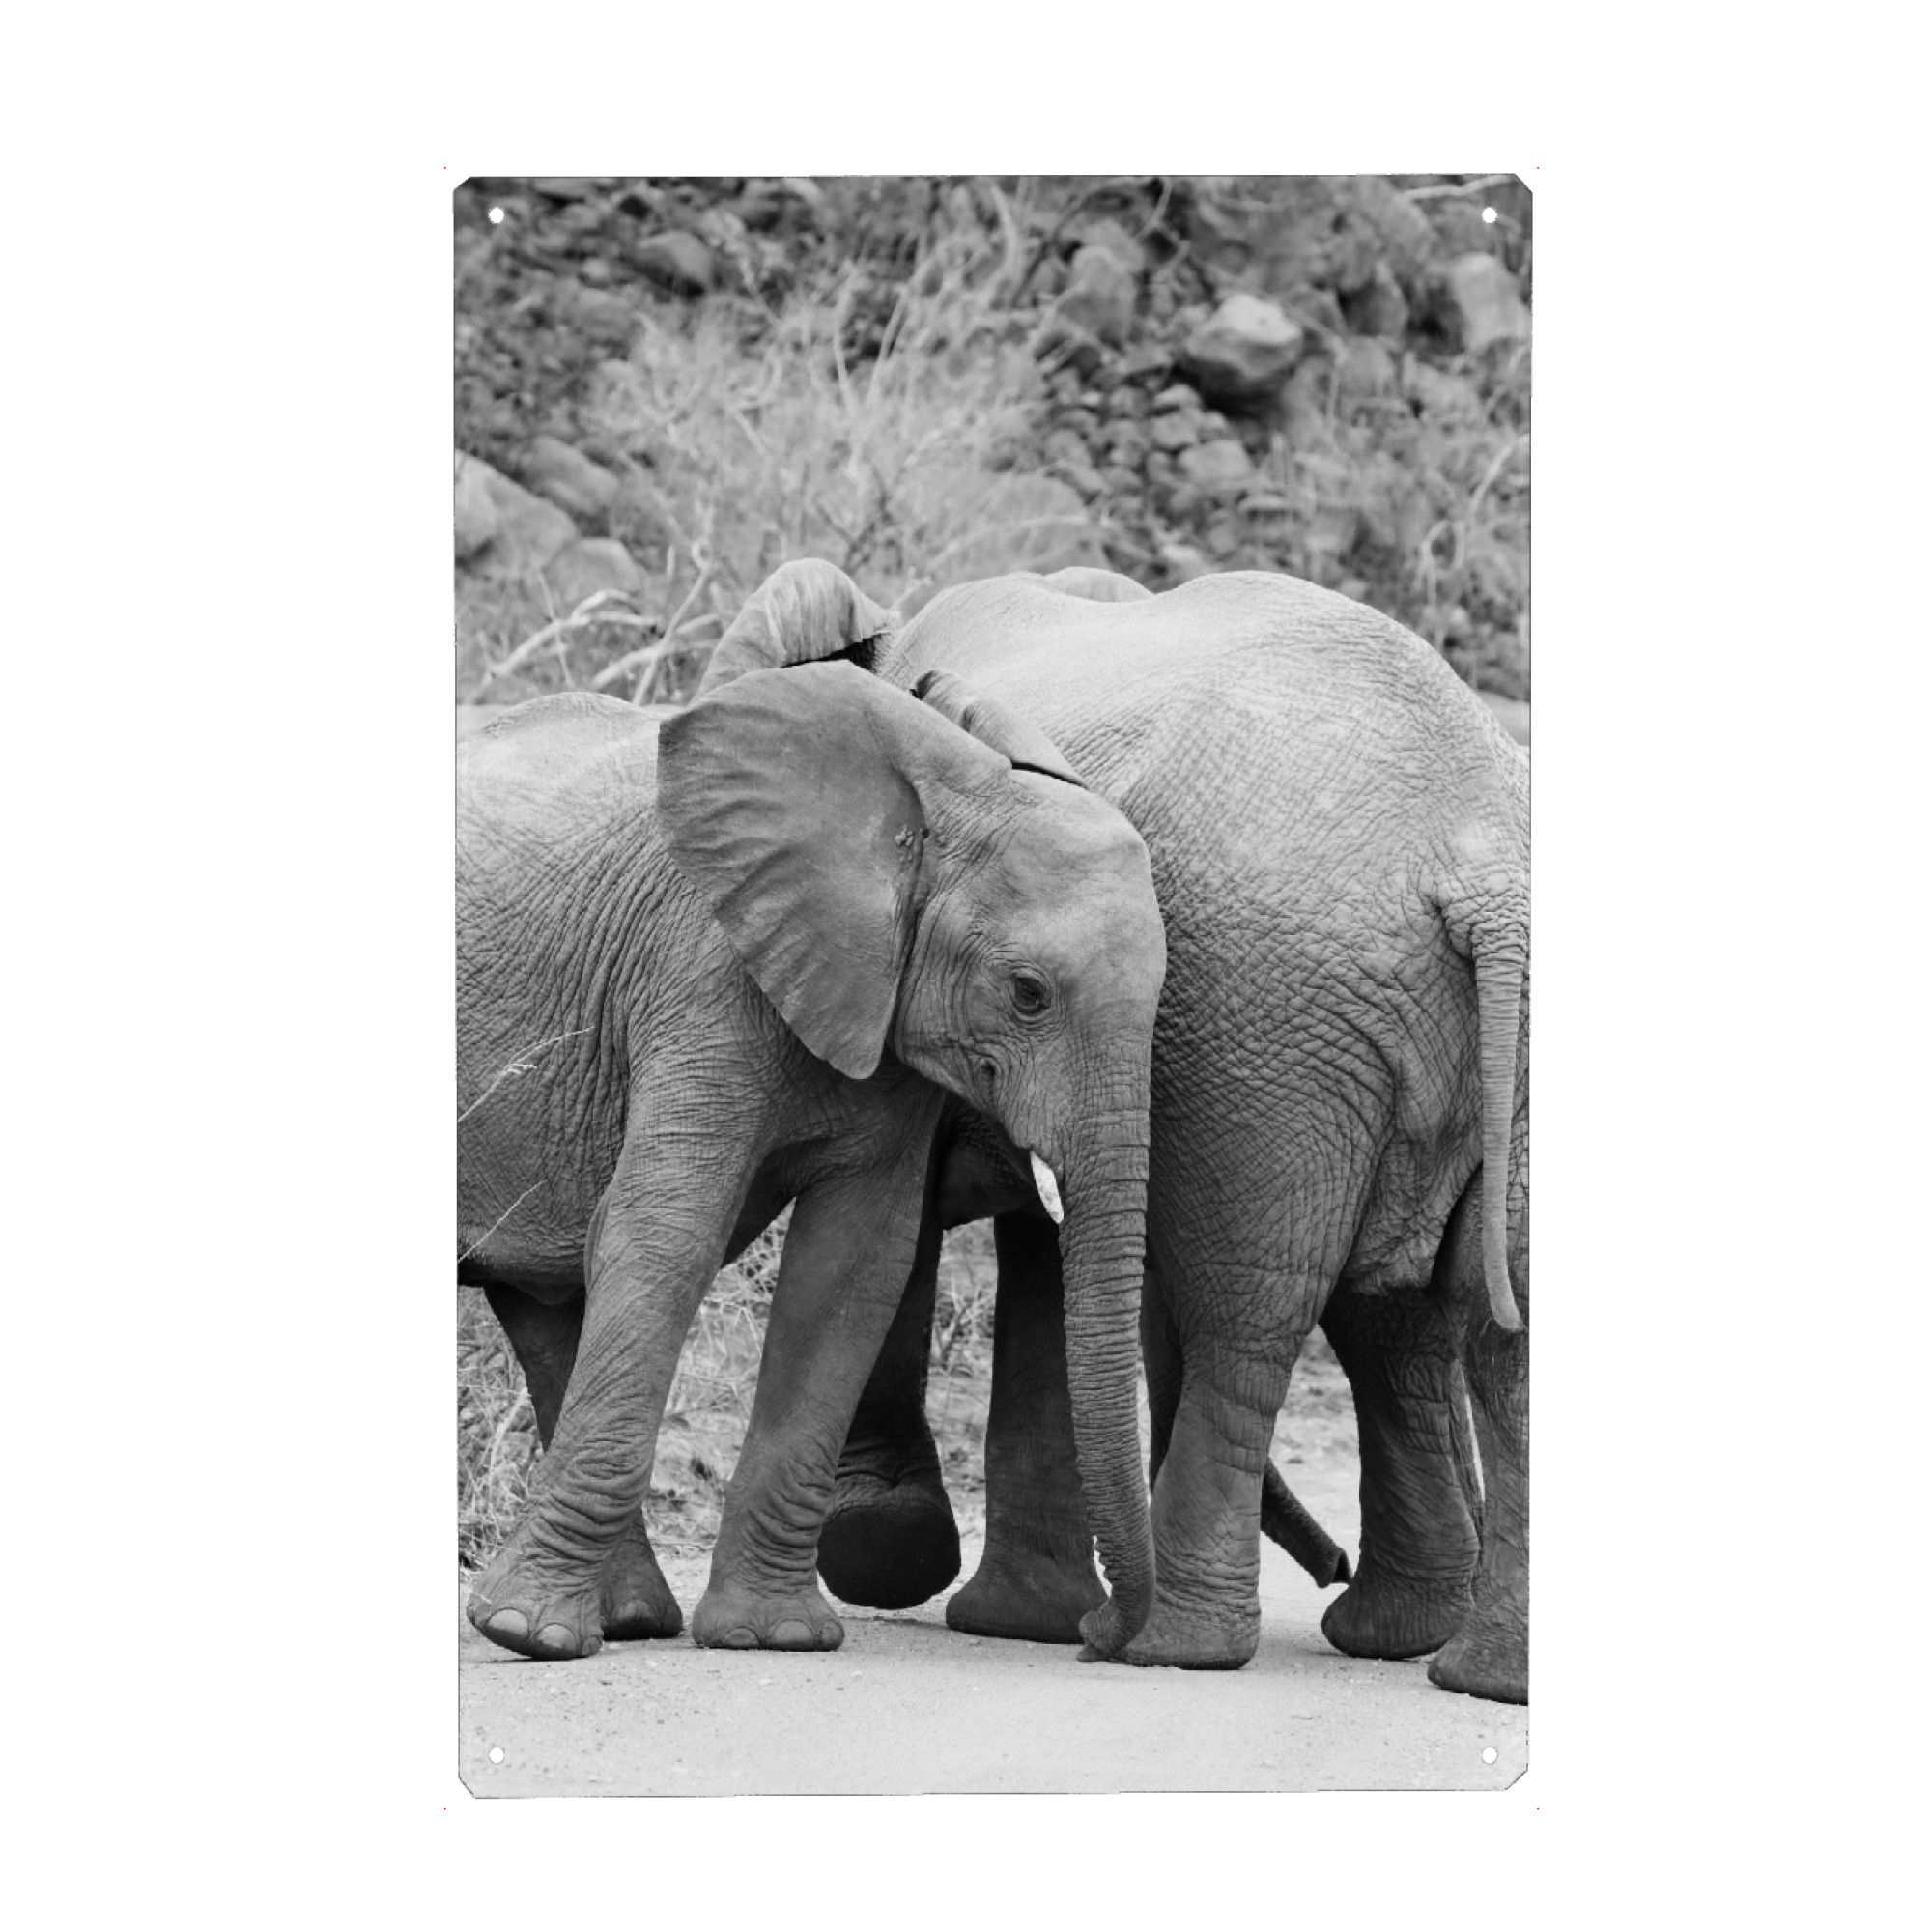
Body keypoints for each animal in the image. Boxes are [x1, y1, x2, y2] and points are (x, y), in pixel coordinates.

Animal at [456, 613, 1169, 1664]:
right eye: (1028, 993)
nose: (1094, 1639)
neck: (942, 793)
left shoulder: (887, 1017)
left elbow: (852, 1266)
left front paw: (772, 1636)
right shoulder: (700, 969)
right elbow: (663, 1234)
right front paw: (525, 1638)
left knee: (545, 1307)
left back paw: (621, 1621)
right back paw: (552, 1626)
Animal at [712, 561, 1531, 1703]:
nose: (1323, 1560)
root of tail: (1481, 858)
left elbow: (913, 1223)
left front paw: (894, 1554)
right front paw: (1008, 1610)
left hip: (1270, 1020)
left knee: (1251, 1311)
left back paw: (1179, 1645)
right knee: (1450, 1321)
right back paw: (1436, 1655)